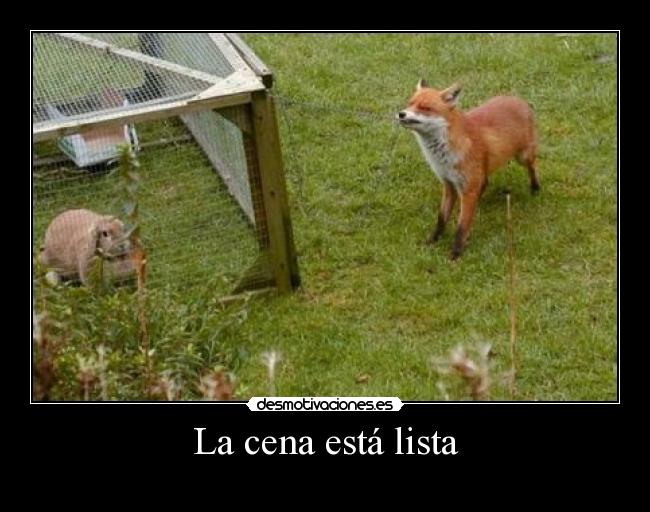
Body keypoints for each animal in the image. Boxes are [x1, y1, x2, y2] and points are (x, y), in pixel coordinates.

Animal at [397, 80, 539, 260]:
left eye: (425, 108)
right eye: (410, 103)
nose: (401, 114)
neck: (443, 156)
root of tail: (517, 99)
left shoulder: (468, 188)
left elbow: (461, 227)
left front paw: (455, 254)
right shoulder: (449, 184)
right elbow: (441, 218)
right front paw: (433, 240)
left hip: (522, 156)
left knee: (533, 166)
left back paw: (535, 188)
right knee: (485, 182)